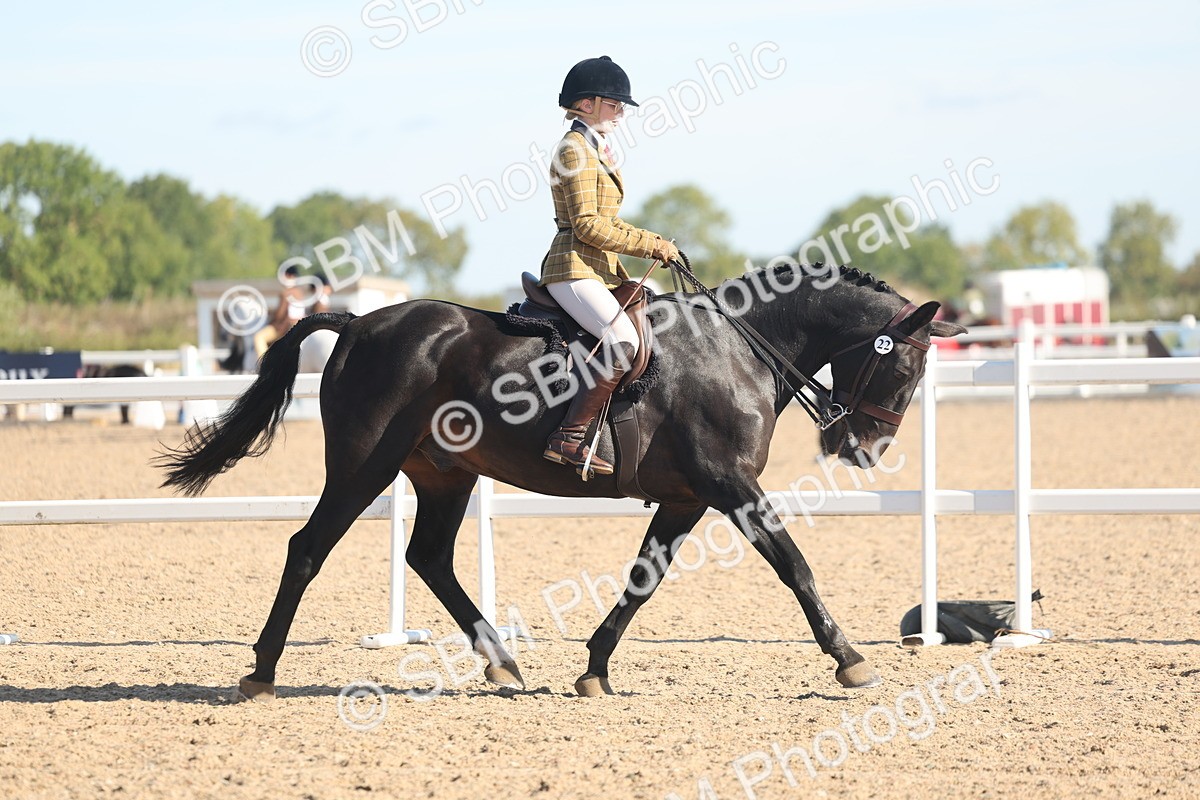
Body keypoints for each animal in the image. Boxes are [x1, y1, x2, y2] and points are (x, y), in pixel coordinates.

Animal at [156, 263, 966, 702]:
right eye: (903, 366)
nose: (864, 448)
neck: (738, 348)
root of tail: (356, 323)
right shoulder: (727, 483)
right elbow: (793, 564)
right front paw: (850, 659)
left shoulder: (687, 498)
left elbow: (643, 581)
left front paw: (595, 669)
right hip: (363, 468)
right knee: (307, 549)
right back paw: (260, 673)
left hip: (444, 475)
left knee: (429, 558)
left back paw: (503, 663)